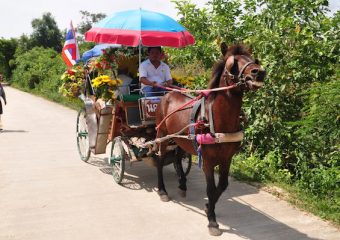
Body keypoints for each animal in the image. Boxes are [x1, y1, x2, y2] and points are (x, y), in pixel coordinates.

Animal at [155, 43, 266, 236]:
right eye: (232, 63)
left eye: (254, 59)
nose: (259, 72)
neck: (218, 121)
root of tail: (167, 95)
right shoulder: (207, 160)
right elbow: (211, 188)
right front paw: (212, 222)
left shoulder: (227, 158)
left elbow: (222, 186)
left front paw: (208, 207)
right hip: (163, 135)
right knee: (161, 160)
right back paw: (162, 190)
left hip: (181, 138)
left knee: (177, 158)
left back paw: (182, 185)